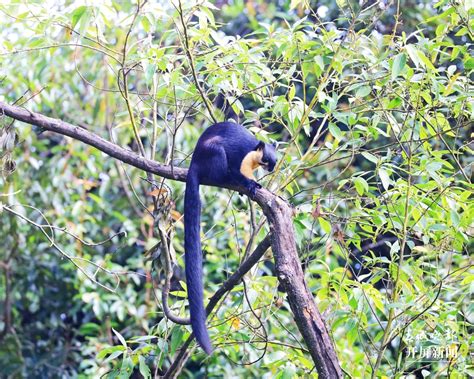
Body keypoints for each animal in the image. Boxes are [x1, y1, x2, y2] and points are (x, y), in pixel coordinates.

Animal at [182, 122, 278, 356]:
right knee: (219, 175)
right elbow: (236, 172)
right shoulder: (237, 159)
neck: (252, 158)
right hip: (214, 151)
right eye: (266, 160)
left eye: (274, 162)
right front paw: (251, 185)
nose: (270, 169)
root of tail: (194, 162)